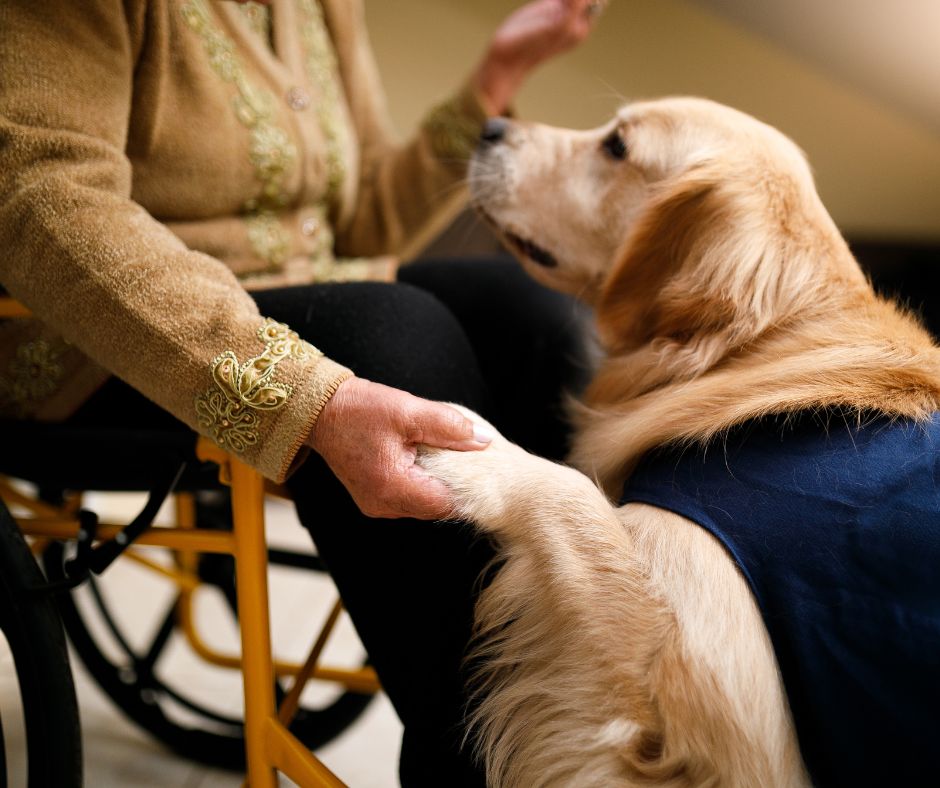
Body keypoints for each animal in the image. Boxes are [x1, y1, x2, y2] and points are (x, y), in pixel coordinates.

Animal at [418, 98, 940, 788]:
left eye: (616, 147)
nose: (490, 126)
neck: (756, 348)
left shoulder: (740, 725)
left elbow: (575, 494)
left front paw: (477, 454)